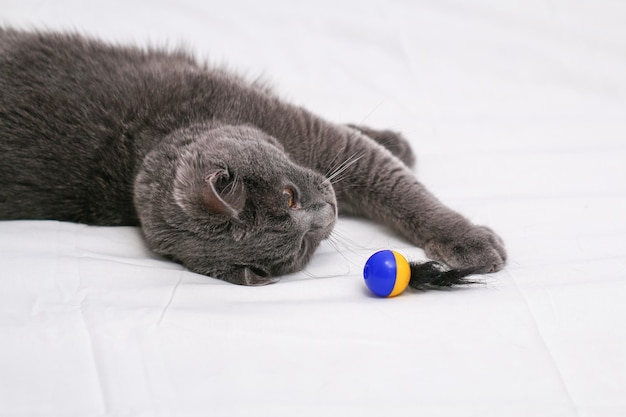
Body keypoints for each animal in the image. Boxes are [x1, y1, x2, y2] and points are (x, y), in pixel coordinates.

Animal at [0, 29, 504, 286]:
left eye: (289, 195)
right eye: (301, 248)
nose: (327, 215)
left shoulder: (317, 136)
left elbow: (396, 185)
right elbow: (388, 180)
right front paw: (472, 243)